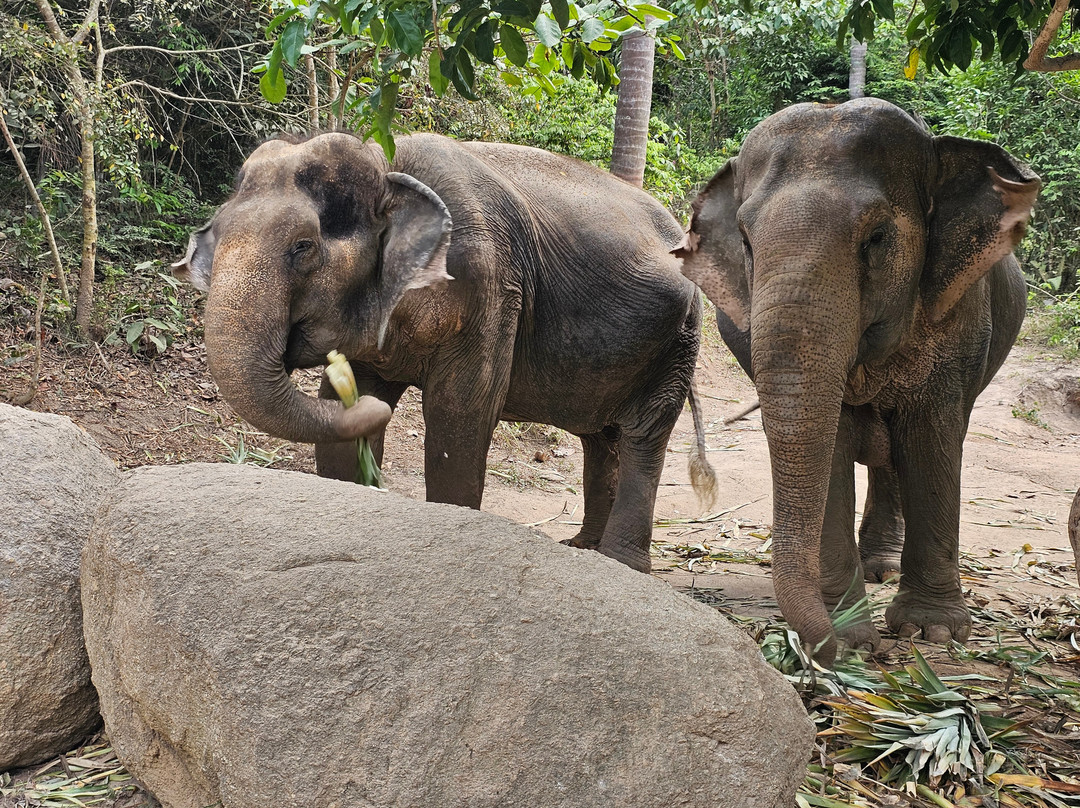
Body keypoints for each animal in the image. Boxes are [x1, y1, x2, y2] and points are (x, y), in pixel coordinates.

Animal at [173, 131, 715, 572]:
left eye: (302, 247)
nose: (374, 411)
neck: (385, 162)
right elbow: (343, 404)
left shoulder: (490, 285)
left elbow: (462, 411)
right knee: (600, 436)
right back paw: (583, 548)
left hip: (681, 337)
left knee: (644, 434)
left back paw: (620, 564)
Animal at [676, 98, 1040, 664]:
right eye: (746, 243)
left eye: (877, 238)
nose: (831, 654)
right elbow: (834, 445)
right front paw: (851, 635)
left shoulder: (960, 318)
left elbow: (932, 440)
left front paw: (933, 632)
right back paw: (875, 569)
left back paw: (884, 572)